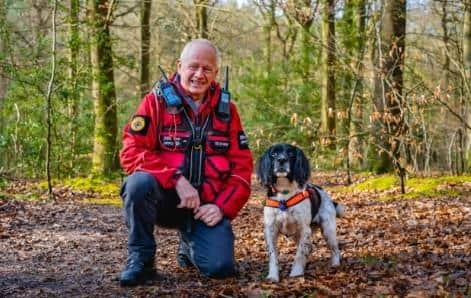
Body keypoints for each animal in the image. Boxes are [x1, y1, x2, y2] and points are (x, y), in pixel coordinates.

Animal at [256, 144, 344, 282]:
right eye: (274, 154)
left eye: (291, 154)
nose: (281, 160)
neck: (284, 195)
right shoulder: (270, 230)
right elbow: (273, 255)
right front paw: (273, 276)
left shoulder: (304, 229)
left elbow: (299, 253)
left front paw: (296, 273)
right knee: (310, 247)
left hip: (328, 228)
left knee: (334, 248)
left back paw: (335, 263)